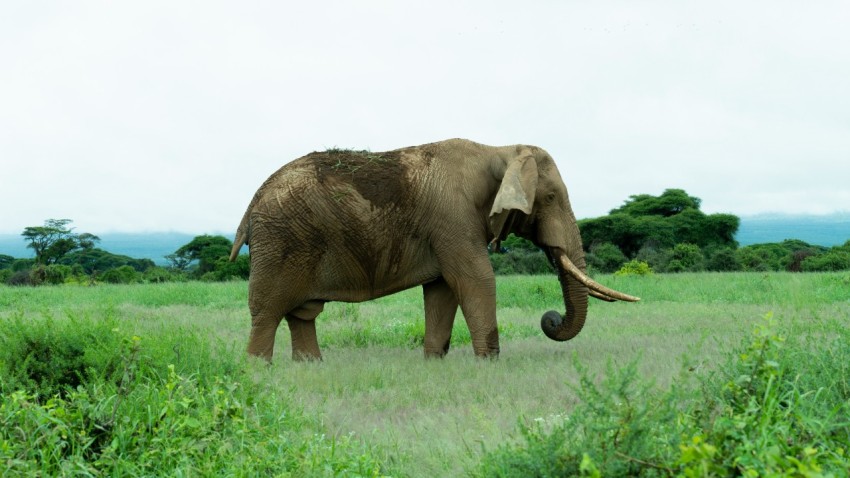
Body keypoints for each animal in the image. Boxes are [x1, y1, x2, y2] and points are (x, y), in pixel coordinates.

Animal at [229, 138, 638, 362]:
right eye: (550, 197)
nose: (550, 319)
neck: (500, 150)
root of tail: (251, 205)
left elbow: (442, 290)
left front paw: (433, 362)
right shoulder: (453, 218)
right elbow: (475, 280)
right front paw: (489, 364)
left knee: (302, 314)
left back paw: (311, 367)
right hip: (282, 241)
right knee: (266, 314)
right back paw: (259, 373)